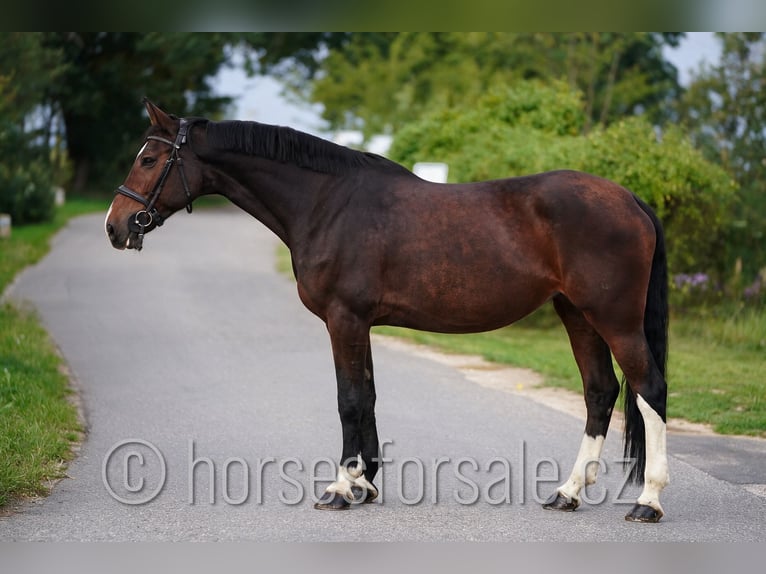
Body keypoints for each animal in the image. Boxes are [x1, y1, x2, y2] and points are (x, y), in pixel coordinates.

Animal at [106, 99, 669, 523]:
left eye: (150, 160)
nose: (116, 226)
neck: (327, 203)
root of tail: (630, 199)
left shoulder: (345, 320)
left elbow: (349, 400)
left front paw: (339, 488)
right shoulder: (362, 324)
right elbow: (369, 397)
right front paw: (366, 485)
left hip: (614, 319)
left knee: (649, 390)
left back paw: (648, 501)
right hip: (577, 315)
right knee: (600, 393)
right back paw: (568, 493)